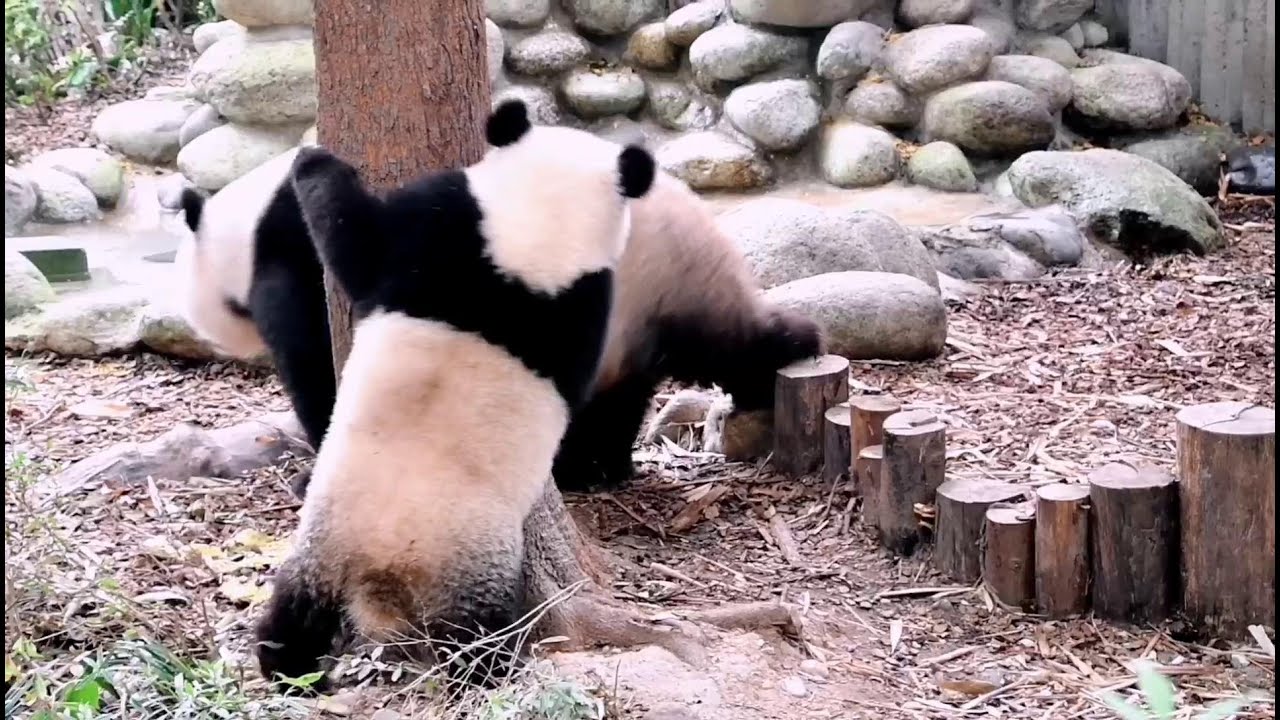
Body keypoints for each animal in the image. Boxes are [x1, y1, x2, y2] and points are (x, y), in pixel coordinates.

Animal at [175, 129, 823, 496]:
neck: (243, 224)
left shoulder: (297, 257)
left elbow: (315, 360)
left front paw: (312, 471)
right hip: (657, 299)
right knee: (661, 372)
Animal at [253, 99, 657, 690]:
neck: (536, 231)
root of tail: (383, 572)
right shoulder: (458, 234)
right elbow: (361, 243)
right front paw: (311, 160)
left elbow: (357, 243)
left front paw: (310, 162)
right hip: (355, 545)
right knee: (309, 612)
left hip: (419, 556)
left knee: (319, 615)